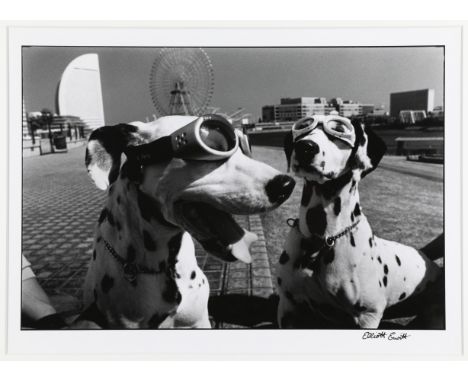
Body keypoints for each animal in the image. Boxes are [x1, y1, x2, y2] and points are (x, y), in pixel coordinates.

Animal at [278, 115, 442, 328]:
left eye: (339, 130)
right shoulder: (288, 307)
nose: (305, 146)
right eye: (303, 127)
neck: (322, 239)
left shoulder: (368, 316)